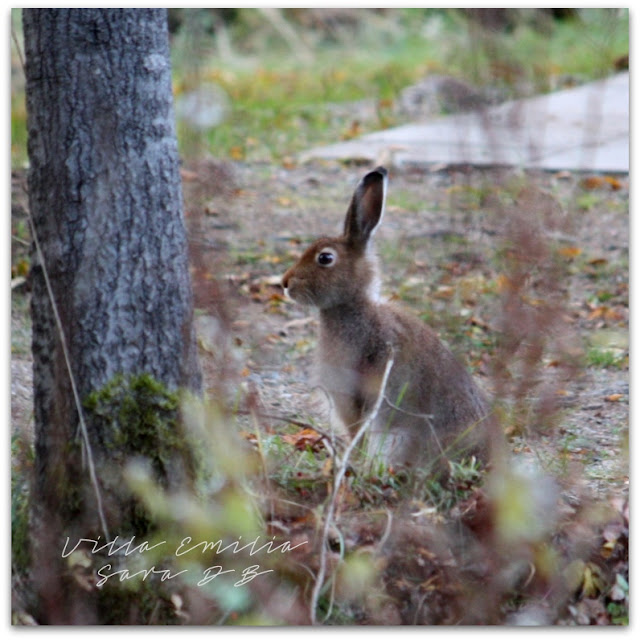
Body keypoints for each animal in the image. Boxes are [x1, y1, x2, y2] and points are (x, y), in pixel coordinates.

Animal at [281, 166, 493, 471]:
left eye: (325, 258)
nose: (285, 283)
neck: (354, 307)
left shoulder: (352, 397)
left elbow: (355, 433)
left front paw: (350, 460)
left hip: (398, 437)